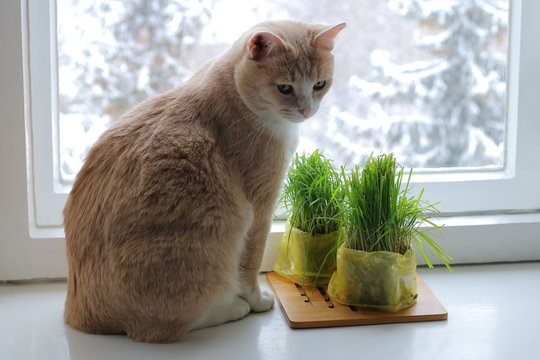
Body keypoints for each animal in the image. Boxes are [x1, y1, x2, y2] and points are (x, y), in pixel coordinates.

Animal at [62, 20, 342, 344]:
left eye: (320, 84)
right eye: (284, 87)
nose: (306, 109)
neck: (234, 92)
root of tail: (80, 315)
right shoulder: (260, 207)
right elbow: (250, 264)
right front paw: (256, 299)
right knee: (162, 328)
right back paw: (232, 308)